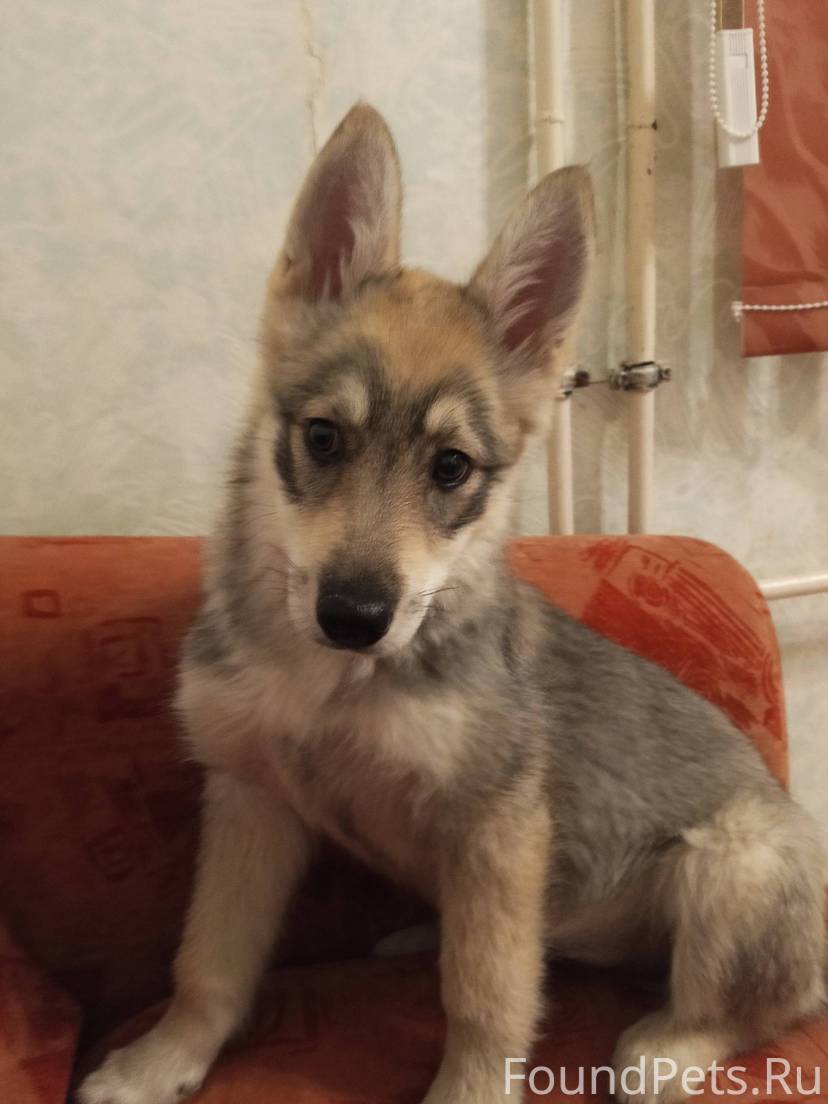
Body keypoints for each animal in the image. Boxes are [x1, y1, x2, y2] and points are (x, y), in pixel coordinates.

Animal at [79, 104, 826, 1104]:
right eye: (323, 437)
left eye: (450, 468)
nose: (353, 618)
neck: (330, 686)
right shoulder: (250, 800)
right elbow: (209, 965)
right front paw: (161, 1064)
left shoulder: (496, 831)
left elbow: (485, 996)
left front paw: (472, 1087)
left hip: (729, 868)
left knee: (756, 1009)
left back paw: (663, 1049)